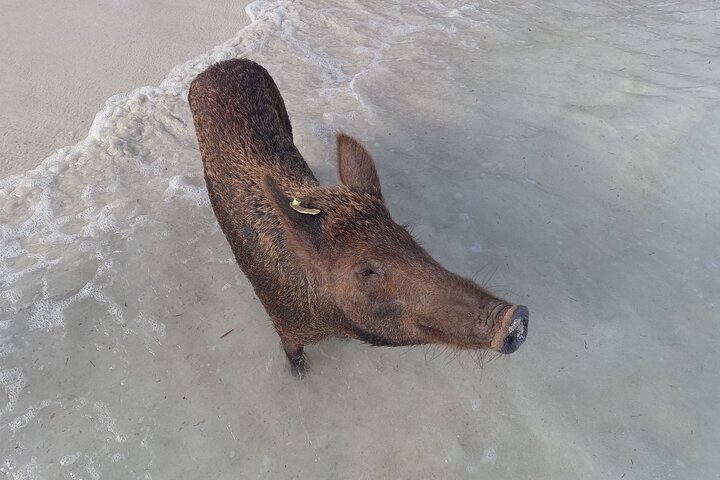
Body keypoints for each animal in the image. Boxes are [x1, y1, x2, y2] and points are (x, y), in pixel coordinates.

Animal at [188, 58, 528, 377]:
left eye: (407, 237)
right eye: (366, 271)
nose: (515, 317)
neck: (323, 318)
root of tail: (220, 65)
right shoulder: (284, 327)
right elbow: (293, 353)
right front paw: (300, 375)